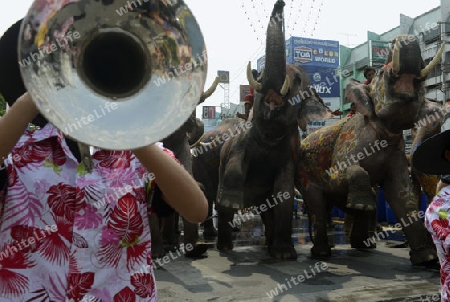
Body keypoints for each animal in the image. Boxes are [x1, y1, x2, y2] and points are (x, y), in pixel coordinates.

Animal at [296, 33, 442, 264]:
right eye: (382, 73)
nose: (405, 38)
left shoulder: (396, 152)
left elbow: (401, 193)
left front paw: (426, 258)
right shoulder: (348, 143)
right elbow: (339, 176)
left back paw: (361, 243)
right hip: (303, 171)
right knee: (317, 201)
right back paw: (322, 252)